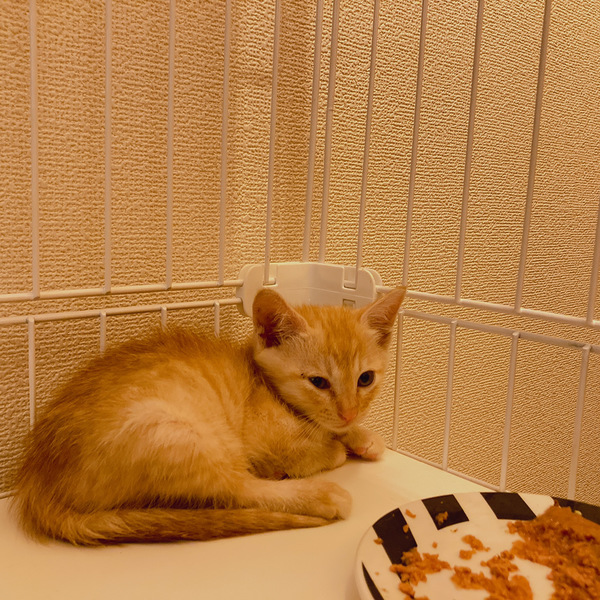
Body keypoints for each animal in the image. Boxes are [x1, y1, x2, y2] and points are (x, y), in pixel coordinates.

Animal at [13, 287, 406, 545]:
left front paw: (361, 435)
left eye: (365, 379)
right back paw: (321, 495)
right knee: (238, 489)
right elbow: (310, 449)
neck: (266, 386)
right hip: (181, 436)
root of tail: (38, 483)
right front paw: (337, 447)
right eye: (318, 382)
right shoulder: (262, 444)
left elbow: (331, 430)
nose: (349, 411)